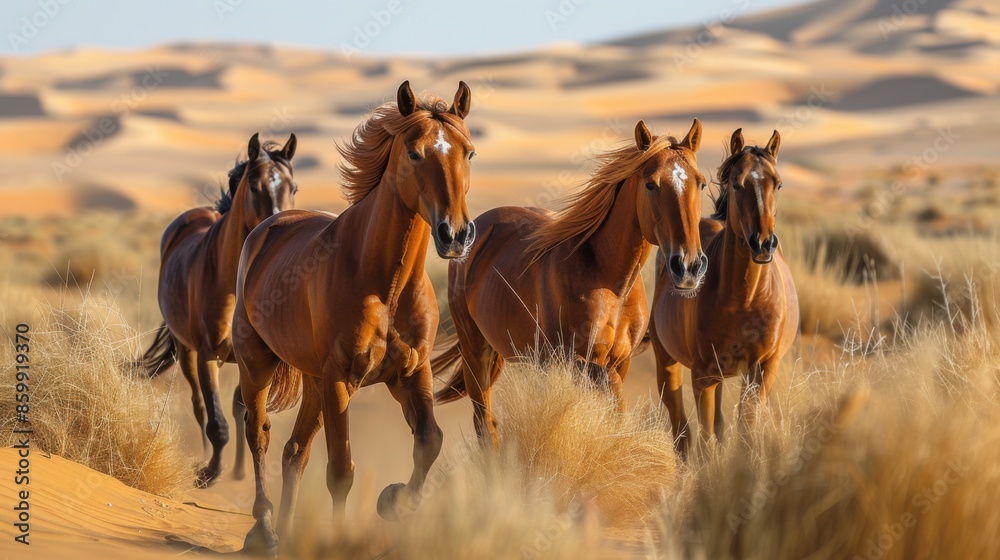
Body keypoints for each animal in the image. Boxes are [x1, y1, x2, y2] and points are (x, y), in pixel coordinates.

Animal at [139, 131, 298, 486]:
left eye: (293, 188)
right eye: (253, 186)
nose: (279, 226)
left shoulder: (254, 360)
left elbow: (245, 413)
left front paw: (235, 469)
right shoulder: (207, 355)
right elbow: (217, 422)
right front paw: (209, 473)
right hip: (186, 351)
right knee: (199, 406)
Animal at [232, 81, 474, 552]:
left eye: (469, 153)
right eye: (414, 153)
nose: (455, 235)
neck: (385, 282)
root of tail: (265, 228)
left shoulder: (410, 373)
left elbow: (429, 442)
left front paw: (394, 501)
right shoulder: (342, 379)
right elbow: (341, 471)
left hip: (312, 380)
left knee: (294, 451)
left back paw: (284, 531)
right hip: (258, 364)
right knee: (260, 432)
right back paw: (264, 529)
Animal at [434, 118, 708, 446]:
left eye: (701, 183)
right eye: (651, 184)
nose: (688, 267)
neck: (612, 284)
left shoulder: (621, 361)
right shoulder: (573, 359)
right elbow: (610, 391)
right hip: (476, 351)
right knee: (484, 423)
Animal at [652, 129, 800, 458]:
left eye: (778, 183)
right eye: (736, 183)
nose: (763, 243)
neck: (744, 299)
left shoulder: (761, 370)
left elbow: (746, 433)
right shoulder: (702, 377)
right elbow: (707, 443)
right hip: (670, 366)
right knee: (682, 432)